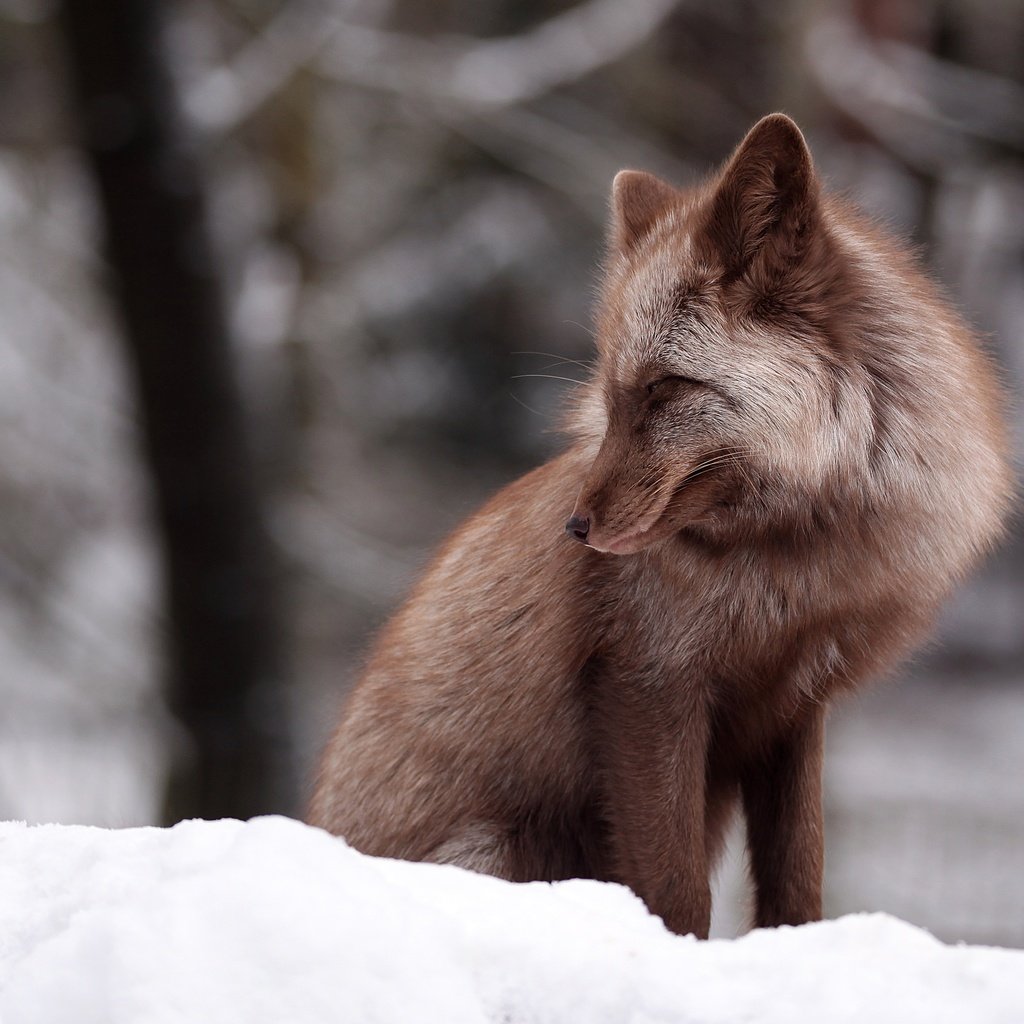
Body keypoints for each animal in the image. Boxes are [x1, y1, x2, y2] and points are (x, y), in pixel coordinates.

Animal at [307, 112, 1011, 937]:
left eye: (666, 389)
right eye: (611, 395)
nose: (576, 528)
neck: (793, 572)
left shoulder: (794, 708)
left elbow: (796, 886)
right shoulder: (647, 684)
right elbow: (677, 893)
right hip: (502, 850)